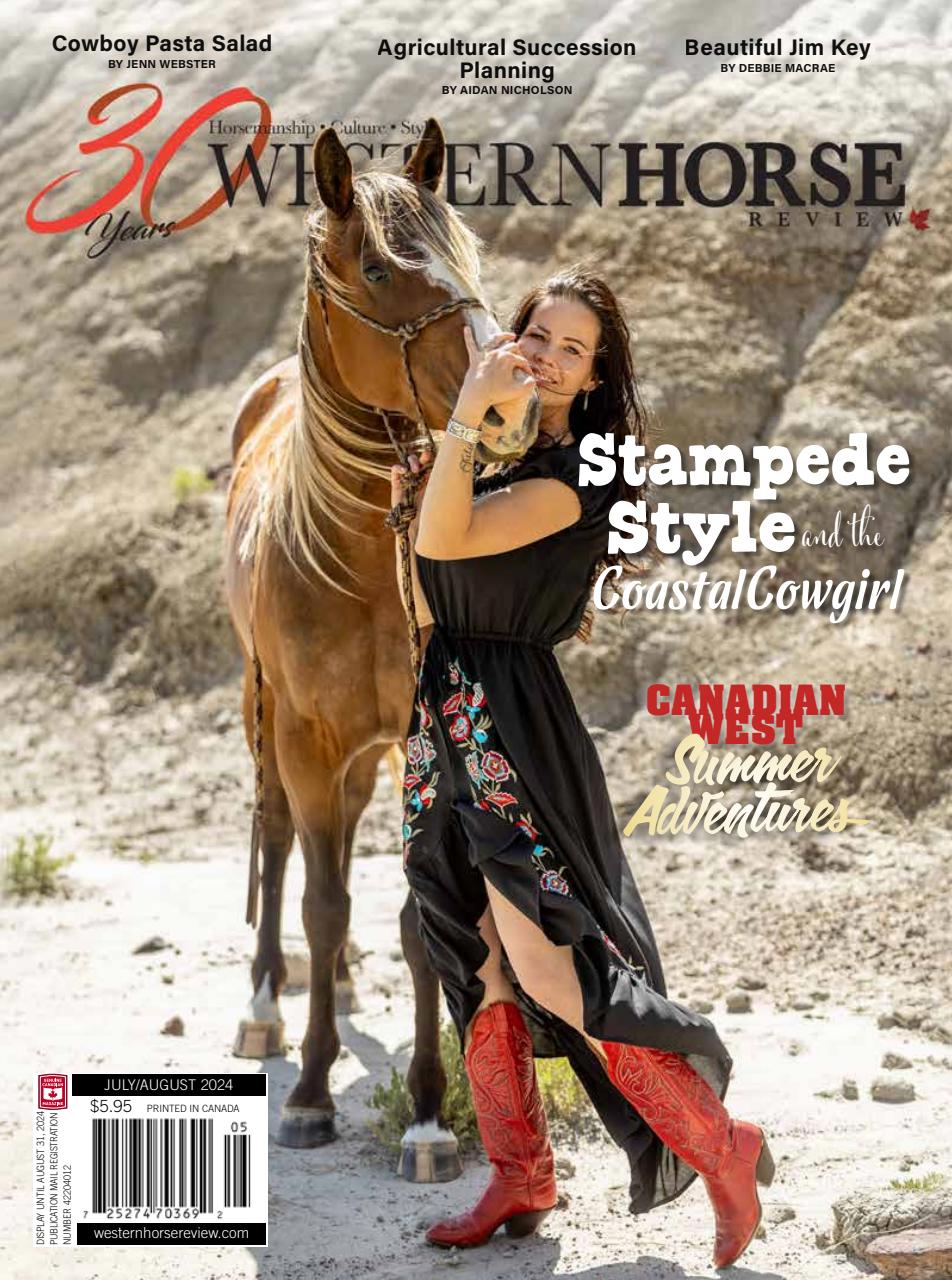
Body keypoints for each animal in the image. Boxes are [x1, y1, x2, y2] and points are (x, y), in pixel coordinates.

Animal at [222, 118, 537, 1179]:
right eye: (374, 266)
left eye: (465, 250)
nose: (512, 403)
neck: (356, 561)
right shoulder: (306, 738)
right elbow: (321, 903)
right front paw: (313, 1094)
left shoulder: (416, 737)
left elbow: (412, 913)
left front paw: (433, 1115)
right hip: (264, 718)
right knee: (278, 840)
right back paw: (265, 1008)